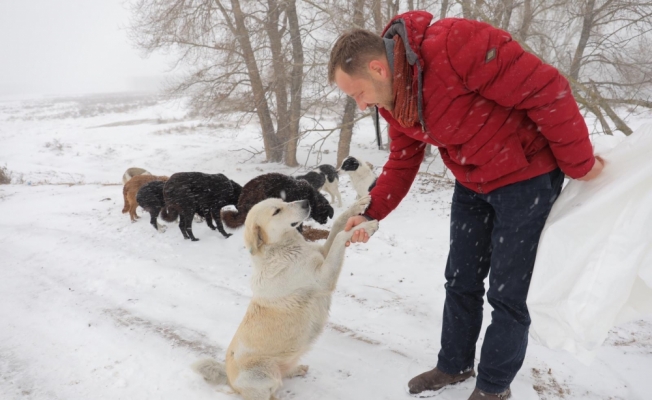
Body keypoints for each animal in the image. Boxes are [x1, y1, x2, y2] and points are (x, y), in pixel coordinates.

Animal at [192, 196, 376, 400]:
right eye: (276, 211)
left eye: (283, 201)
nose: (306, 202)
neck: (283, 249)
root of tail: (229, 379)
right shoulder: (324, 278)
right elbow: (339, 237)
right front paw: (365, 227)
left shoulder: (322, 254)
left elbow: (336, 227)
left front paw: (358, 206)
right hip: (267, 374)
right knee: (272, 391)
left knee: (284, 373)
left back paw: (297, 369)